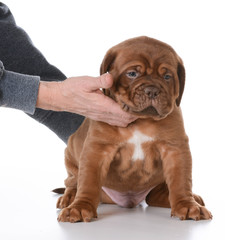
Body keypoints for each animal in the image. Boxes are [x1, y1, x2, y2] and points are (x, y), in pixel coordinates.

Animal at [55, 36, 212, 222]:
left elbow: (181, 181)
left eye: (167, 77)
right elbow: (88, 182)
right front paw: (79, 207)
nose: (152, 90)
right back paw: (69, 197)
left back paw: (191, 198)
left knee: (159, 195)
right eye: (132, 74)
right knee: (73, 181)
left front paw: (187, 205)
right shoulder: (97, 149)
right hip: (70, 155)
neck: (140, 120)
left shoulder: (175, 149)